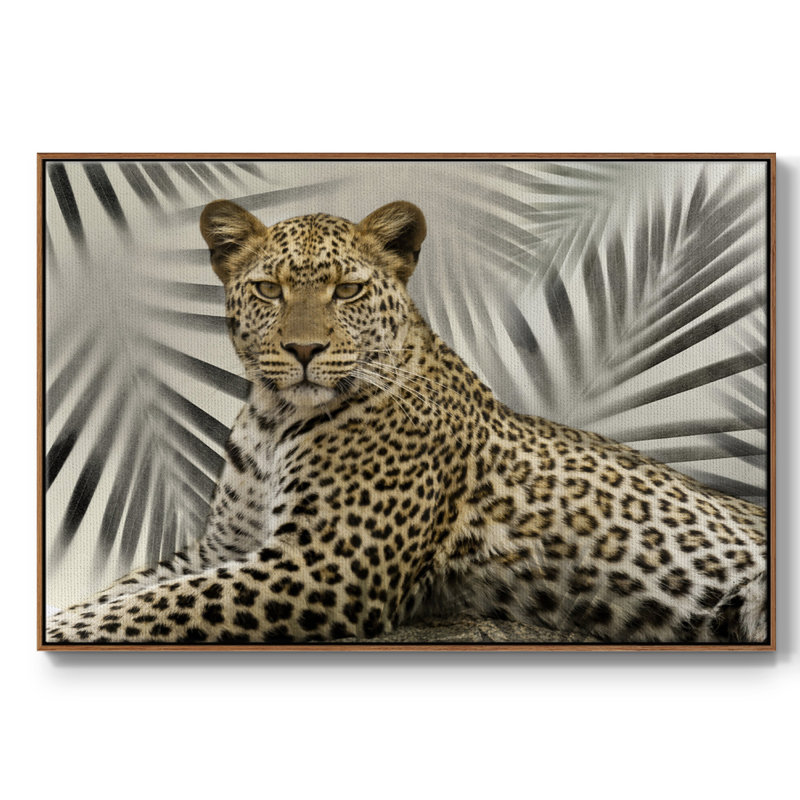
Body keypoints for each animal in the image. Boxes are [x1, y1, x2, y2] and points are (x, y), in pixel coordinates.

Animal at [45, 199, 769, 646]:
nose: (303, 350)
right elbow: (131, 589)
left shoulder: (326, 564)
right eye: (269, 289)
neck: (274, 418)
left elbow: (160, 605)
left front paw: (63, 630)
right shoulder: (225, 545)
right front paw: (69, 611)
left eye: (347, 290)